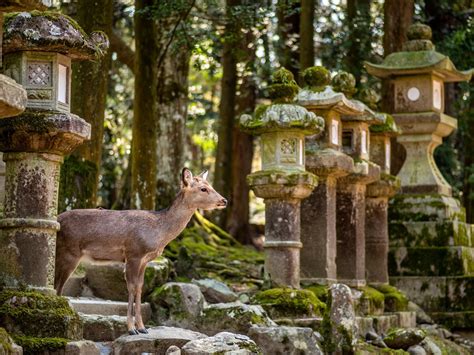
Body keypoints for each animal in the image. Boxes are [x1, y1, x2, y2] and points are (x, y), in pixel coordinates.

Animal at [53, 168, 228, 336]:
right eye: (203, 188)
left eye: (210, 185)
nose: (224, 200)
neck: (159, 234)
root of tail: (57, 219)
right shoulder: (133, 253)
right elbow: (131, 288)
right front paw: (131, 329)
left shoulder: (145, 260)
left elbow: (139, 287)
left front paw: (143, 328)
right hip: (69, 253)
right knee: (58, 285)